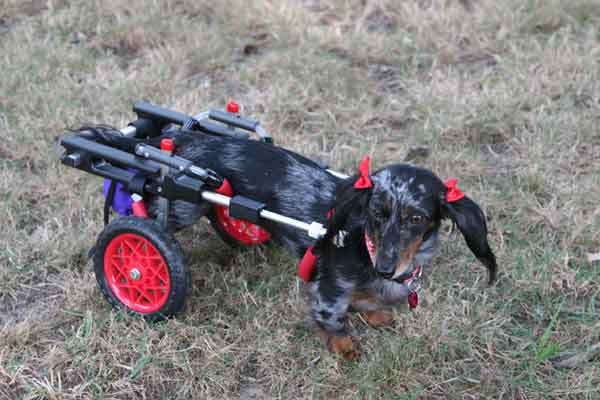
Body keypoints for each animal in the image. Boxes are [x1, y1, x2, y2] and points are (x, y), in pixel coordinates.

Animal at [86, 126, 496, 360]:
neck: (365, 245)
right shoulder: (330, 290)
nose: (385, 266)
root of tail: (181, 138)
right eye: (376, 212)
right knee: (141, 212)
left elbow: (367, 301)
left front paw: (375, 311)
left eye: (416, 219)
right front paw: (345, 348)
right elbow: (333, 318)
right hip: (181, 204)